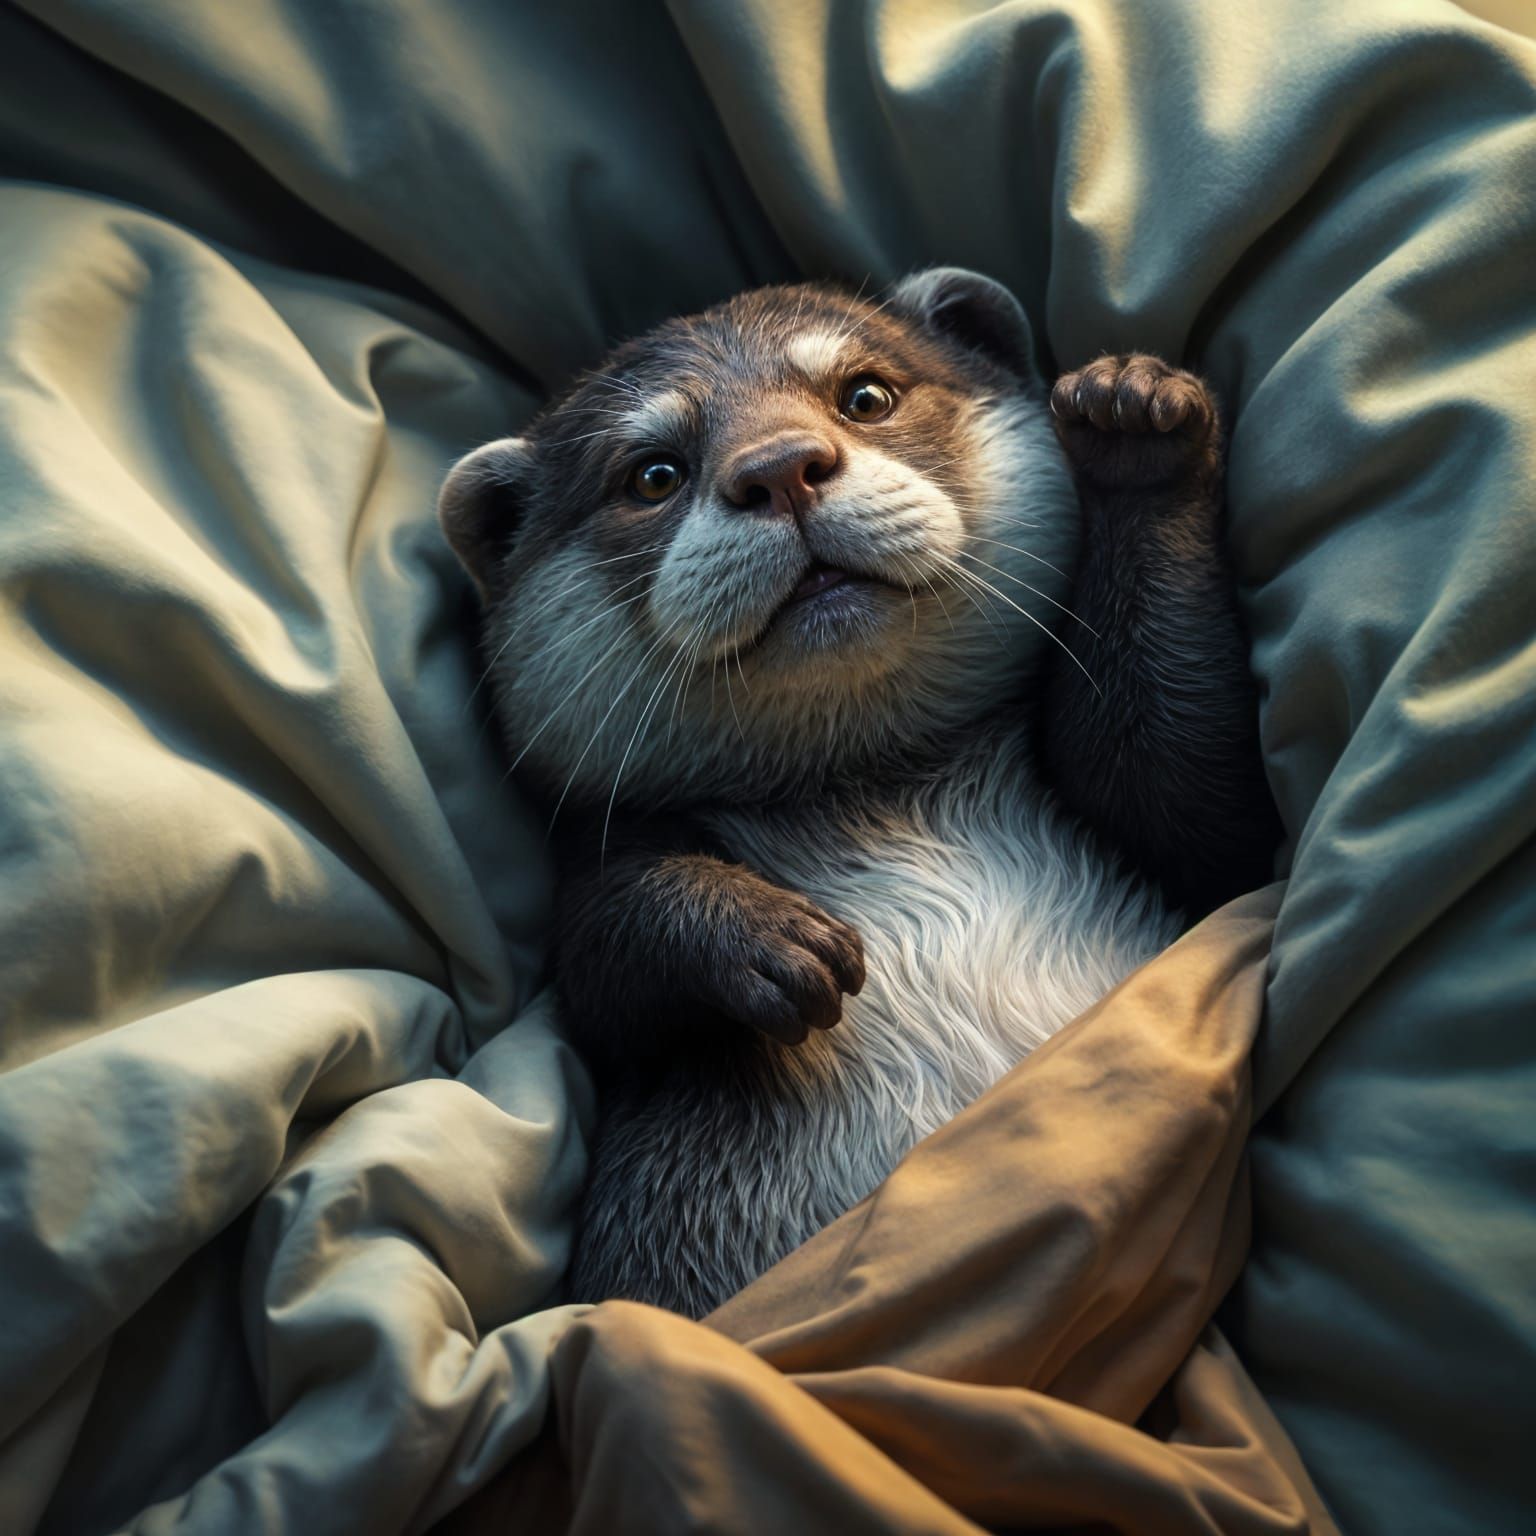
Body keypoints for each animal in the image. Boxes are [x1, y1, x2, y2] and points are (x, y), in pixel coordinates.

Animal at [438, 269, 1279, 1318]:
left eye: (866, 394)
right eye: (652, 474)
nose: (781, 467)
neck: (892, 805)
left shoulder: (1179, 831)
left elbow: (1191, 782)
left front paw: (1133, 415)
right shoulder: (599, 898)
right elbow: (602, 952)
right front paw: (765, 939)